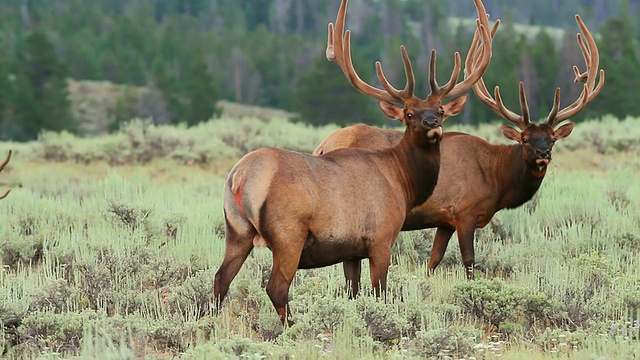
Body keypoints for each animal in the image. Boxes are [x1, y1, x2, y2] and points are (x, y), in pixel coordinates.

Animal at [215, 0, 496, 324]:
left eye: (440, 110)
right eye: (409, 114)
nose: (432, 123)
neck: (402, 182)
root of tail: (240, 176)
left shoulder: (351, 251)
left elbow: (353, 292)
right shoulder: (381, 238)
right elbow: (380, 293)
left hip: (236, 230)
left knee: (221, 279)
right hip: (288, 234)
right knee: (276, 287)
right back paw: (291, 327)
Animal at [316, 14, 604, 278]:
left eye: (552, 138)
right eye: (524, 139)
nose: (543, 153)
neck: (496, 180)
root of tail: (321, 145)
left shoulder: (445, 221)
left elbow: (433, 260)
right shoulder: (465, 212)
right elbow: (469, 261)